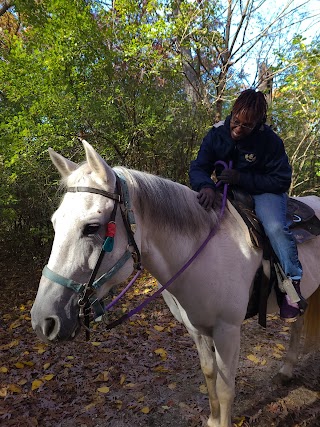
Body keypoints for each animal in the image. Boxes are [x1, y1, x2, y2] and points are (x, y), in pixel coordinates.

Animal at [31, 141, 320, 427]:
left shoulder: (227, 330)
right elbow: (209, 374)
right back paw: (286, 370)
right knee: (297, 323)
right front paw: (213, 419)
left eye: (91, 227)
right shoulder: (196, 329)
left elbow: (226, 388)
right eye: (55, 223)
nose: (43, 321)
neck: (202, 255)